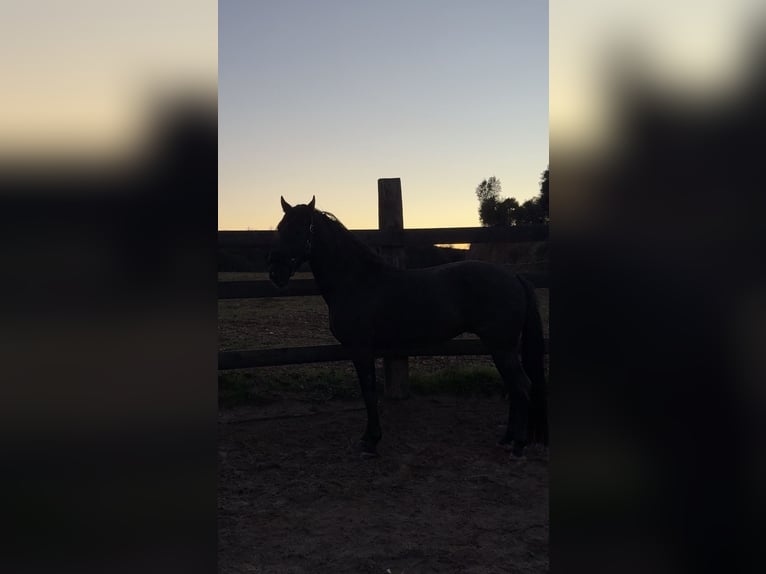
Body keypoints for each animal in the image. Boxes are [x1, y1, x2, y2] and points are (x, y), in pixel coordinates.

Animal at [267, 196, 548, 458]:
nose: (275, 274)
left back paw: (518, 445)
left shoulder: (361, 349)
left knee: (522, 387)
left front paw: (371, 442)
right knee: (514, 388)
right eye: (281, 228)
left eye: (300, 229)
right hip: (500, 348)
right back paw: (507, 439)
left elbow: (369, 392)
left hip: (502, 347)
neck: (357, 281)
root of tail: (514, 277)